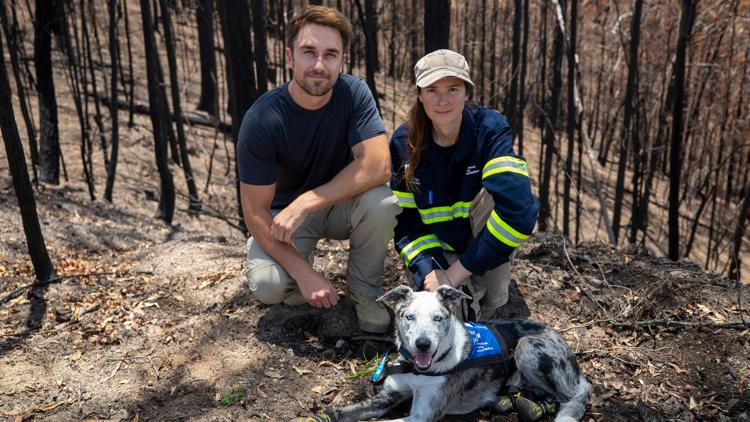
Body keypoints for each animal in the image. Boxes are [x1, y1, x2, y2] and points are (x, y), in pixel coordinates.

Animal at [320, 286, 592, 420]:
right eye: (409, 316)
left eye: (438, 318)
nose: (423, 344)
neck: (417, 370)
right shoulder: (389, 395)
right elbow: (351, 411)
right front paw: (328, 414)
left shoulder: (422, 414)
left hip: (527, 348)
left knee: (572, 396)